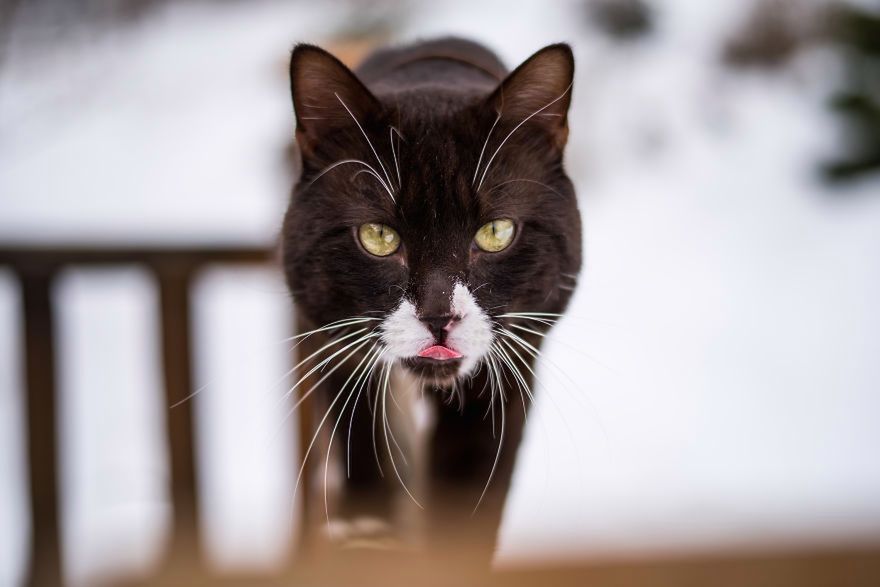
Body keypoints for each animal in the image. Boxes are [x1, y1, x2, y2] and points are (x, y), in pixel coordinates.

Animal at [284, 38, 576, 564]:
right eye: (378, 236)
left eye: (497, 232)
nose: (440, 315)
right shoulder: (329, 339)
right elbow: (361, 428)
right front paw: (367, 530)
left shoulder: (511, 368)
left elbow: (470, 489)